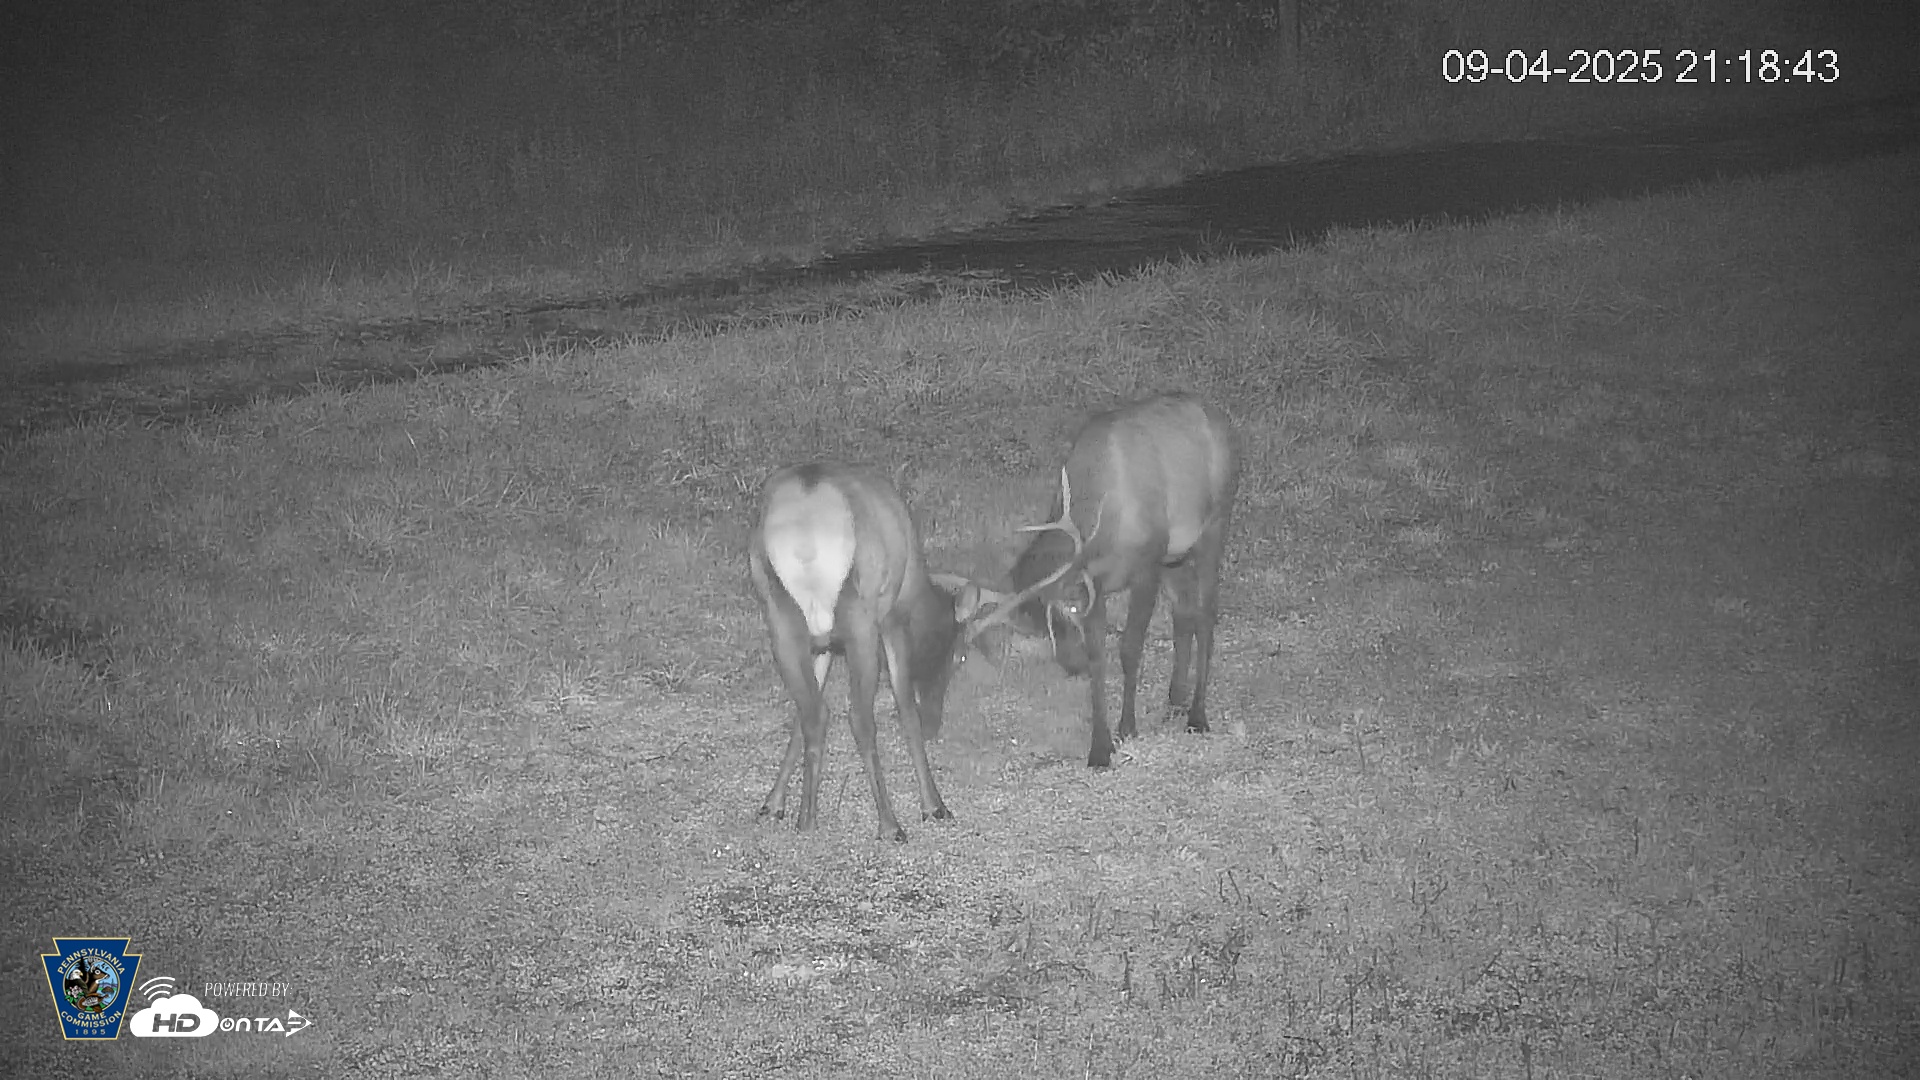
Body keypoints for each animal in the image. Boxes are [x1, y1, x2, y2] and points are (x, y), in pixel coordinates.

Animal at [749, 463, 1077, 841]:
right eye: (959, 656)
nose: (935, 722)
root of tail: (804, 539)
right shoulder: (892, 619)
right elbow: (905, 706)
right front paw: (934, 805)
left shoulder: (823, 643)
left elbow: (803, 719)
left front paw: (773, 803)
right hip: (860, 616)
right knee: (859, 718)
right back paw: (889, 824)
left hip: (779, 615)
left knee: (815, 714)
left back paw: (806, 819)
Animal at [965, 393, 1241, 768]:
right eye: (1038, 625)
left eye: (1064, 612)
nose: (1070, 664)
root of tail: (1225, 420)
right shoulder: (1097, 585)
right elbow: (1099, 657)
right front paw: (1099, 747)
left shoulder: (1147, 565)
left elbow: (1129, 649)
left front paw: (1127, 727)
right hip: (1176, 556)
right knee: (1184, 610)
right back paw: (1175, 700)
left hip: (1214, 524)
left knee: (1206, 613)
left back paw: (1197, 715)